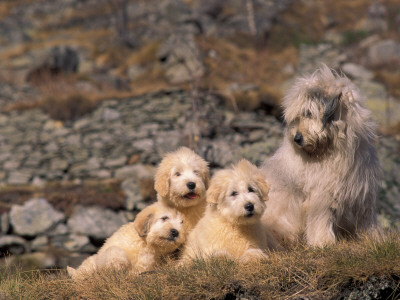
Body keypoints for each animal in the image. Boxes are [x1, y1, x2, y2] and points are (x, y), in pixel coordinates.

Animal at [260, 65, 380, 246]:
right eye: (297, 116)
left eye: (309, 113)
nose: (297, 138)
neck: (335, 151)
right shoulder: (322, 194)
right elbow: (320, 218)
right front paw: (323, 242)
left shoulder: (361, 190)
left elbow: (366, 218)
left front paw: (373, 238)